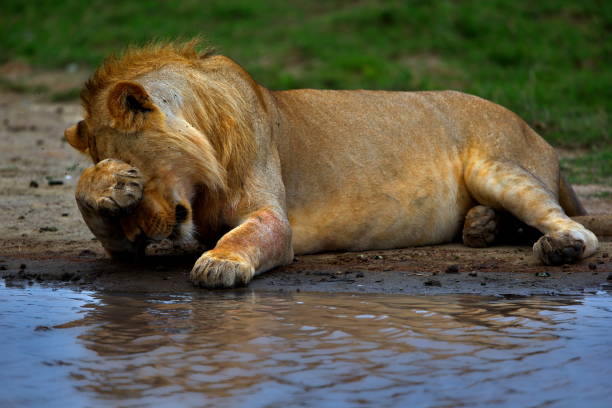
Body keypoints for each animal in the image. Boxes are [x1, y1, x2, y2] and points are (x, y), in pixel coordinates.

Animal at [63, 40, 596, 286]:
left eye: (137, 161)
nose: (141, 235)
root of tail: (537, 134)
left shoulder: (273, 219)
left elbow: (247, 235)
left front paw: (219, 262)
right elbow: (101, 224)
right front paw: (104, 186)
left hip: (495, 167)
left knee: (578, 229)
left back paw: (559, 247)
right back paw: (481, 227)